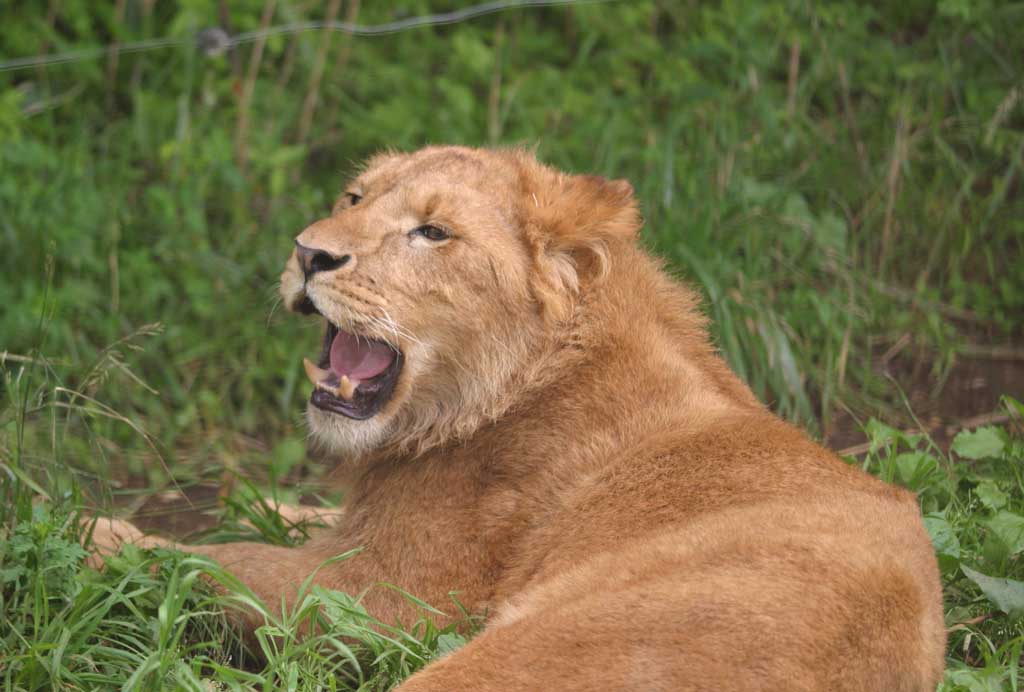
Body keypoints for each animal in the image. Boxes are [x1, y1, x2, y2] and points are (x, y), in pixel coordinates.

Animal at [92, 143, 946, 687]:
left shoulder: (381, 597)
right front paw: (241, 498)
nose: (308, 254)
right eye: (354, 198)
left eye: (433, 232)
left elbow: (215, 562)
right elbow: (279, 520)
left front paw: (94, 535)